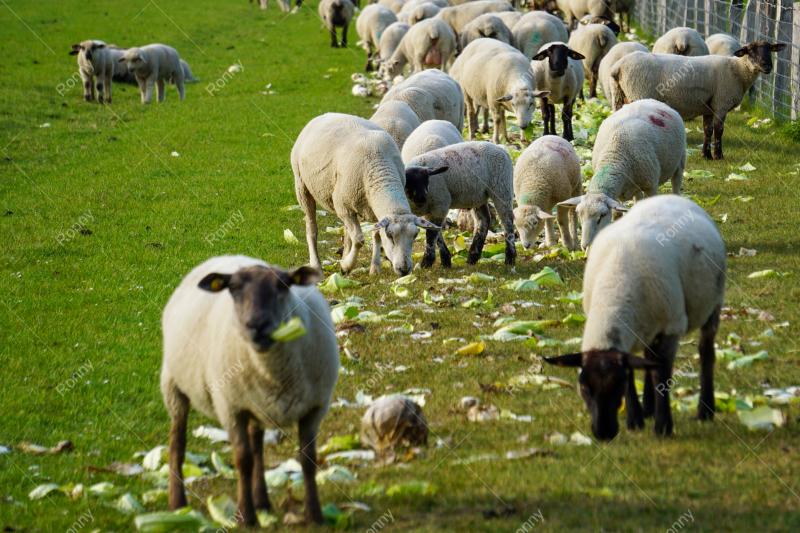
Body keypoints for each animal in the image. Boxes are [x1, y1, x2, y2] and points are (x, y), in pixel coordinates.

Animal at [161, 255, 339, 525]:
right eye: (233, 288)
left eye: (283, 285)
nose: (257, 325)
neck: (273, 371)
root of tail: (224, 255)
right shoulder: (231, 408)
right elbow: (242, 460)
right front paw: (245, 515)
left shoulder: (315, 408)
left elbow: (308, 459)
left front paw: (314, 514)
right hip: (174, 386)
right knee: (177, 444)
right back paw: (177, 504)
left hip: (256, 402)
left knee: (257, 445)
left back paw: (262, 500)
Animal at [292, 113, 439, 276]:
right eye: (390, 235)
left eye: (415, 235)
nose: (404, 270)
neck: (381, 171)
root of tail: (325, 114)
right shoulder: (343, 207)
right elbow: (359, 239)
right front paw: (346, 265)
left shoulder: (373, 212)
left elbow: (376, 235)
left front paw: (374, 268)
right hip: (301, 186)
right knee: (312, 228)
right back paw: (317, 265)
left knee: (346, 231)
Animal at [546, 195, 725, 440]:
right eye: (583, 387)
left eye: (617, 386)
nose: (603, 433)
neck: (615, 292)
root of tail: (670, 196)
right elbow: (634, 370)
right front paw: (635, 420)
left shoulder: (671, 327)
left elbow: (661, 374)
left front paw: (663, 426)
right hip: (647, 324)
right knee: (649, 356)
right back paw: (648, 408)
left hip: (713, 304)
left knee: (706, 351)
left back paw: (705, 410)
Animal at [558, 99, 686, 249]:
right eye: (579, 214)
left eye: (602, 215)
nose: (585, 245)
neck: (614, 156)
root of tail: (651, 100)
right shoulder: (616, 194)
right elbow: (618, 214)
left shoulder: (651, 185)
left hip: (680, 160)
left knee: (676, 183)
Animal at [610, 42, 786, 159]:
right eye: (750, 51)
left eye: (770, 49)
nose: (767, 66)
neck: (737, 71)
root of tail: (618, 67)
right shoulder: (721, 103)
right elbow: (719, 130)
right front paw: (718, 156)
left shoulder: (708, 107)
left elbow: (707, 130)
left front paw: (706, 155)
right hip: (639, 93)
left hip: (618, 95)